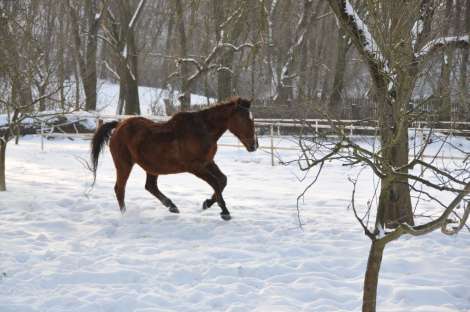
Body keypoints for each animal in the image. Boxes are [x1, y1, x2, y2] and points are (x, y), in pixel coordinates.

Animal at [90, 96, 258, 221]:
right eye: (244, 119)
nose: (254, 145)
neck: (203, 131)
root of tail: (118, 125)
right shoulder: (195, 167)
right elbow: (215, 182)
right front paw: (225, 212)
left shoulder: (208, 162)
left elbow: (223, 180)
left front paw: (207, 203)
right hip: (124, 164)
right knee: (120, 189)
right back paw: (126, 214)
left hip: (152, 166)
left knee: (150, 186)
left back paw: (172, 206)